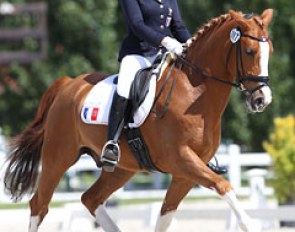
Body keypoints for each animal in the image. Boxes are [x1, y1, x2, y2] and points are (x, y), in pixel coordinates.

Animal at [4, 9, 276, 232]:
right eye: (249, 51)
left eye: (269, 52)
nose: (262, 99)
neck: (194, 92)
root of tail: (68, 83)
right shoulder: (181, 160)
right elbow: (224, 187)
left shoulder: (185, 174)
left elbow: (165, 217)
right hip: (57, 157)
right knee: (39, 204)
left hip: (122, 168)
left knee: (90, 198)